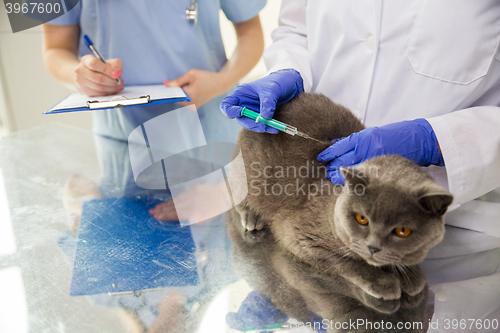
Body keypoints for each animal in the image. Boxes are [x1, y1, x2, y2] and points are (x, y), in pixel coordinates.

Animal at [227, 92, 454, 332]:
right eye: (362, 219)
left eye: (403, 231)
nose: (373, 246)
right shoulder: (300, 237)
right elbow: (346, 263)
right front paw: (384, 282)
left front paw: (410, 275)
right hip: (246, 176)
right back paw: (252, 217)